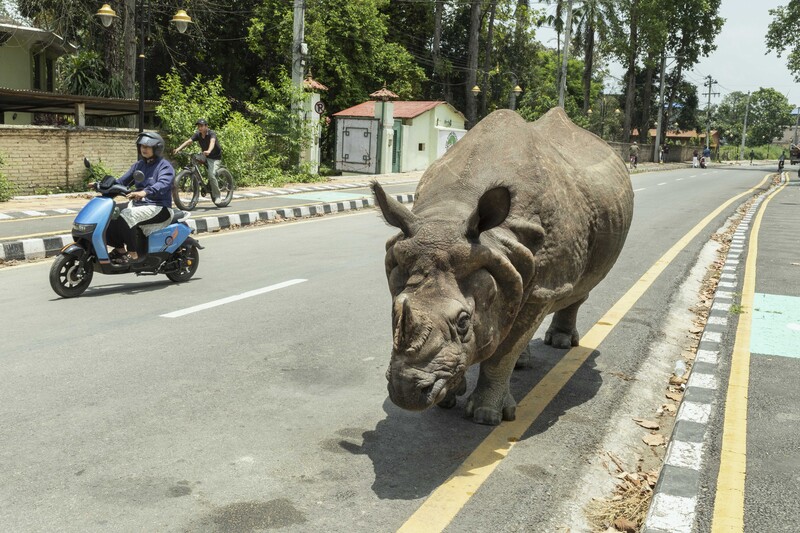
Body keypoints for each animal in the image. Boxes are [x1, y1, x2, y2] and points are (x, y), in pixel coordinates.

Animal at [371, 108, 634, 426]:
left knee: (575, 289)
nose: (406, 391)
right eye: (395, 311)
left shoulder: (542, 288)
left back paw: (559, 343)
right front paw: (449, 397)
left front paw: (486, 416)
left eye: (463, 321)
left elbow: (504, 350)